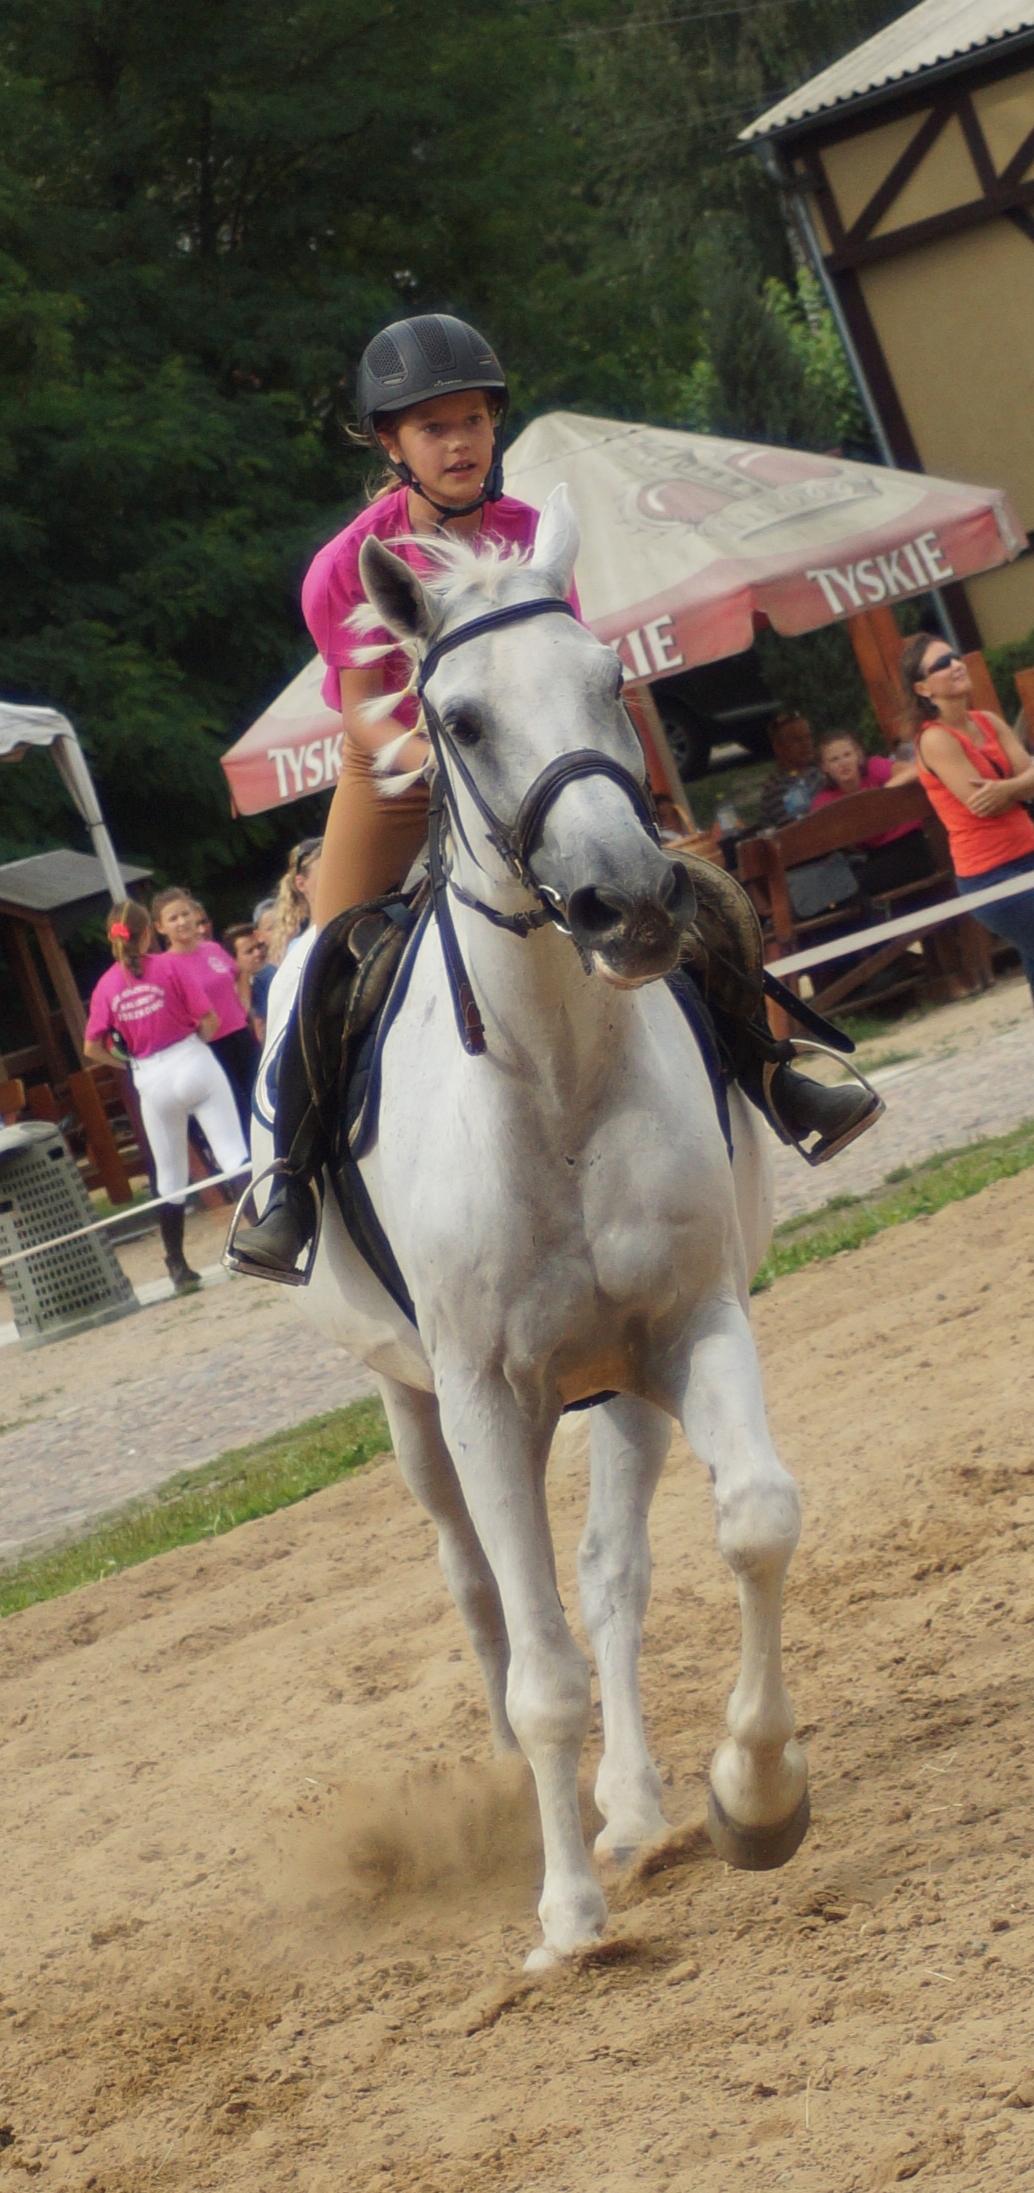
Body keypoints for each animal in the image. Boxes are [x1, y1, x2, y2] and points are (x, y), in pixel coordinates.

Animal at [252, 486, 809, 1970]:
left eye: (610, 680)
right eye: (454, 720)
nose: (629, 900)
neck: (555, 1080)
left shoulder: (690, 1325)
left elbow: (753, 1522)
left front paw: (753, 1795)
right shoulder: (481, 1398)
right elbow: (539, 1665)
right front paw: (565, 1916)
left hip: (617, 1387)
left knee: (611, 1577)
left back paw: (636, 1807)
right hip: (411, 1413)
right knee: (484, 1596)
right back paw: (542, 1805)